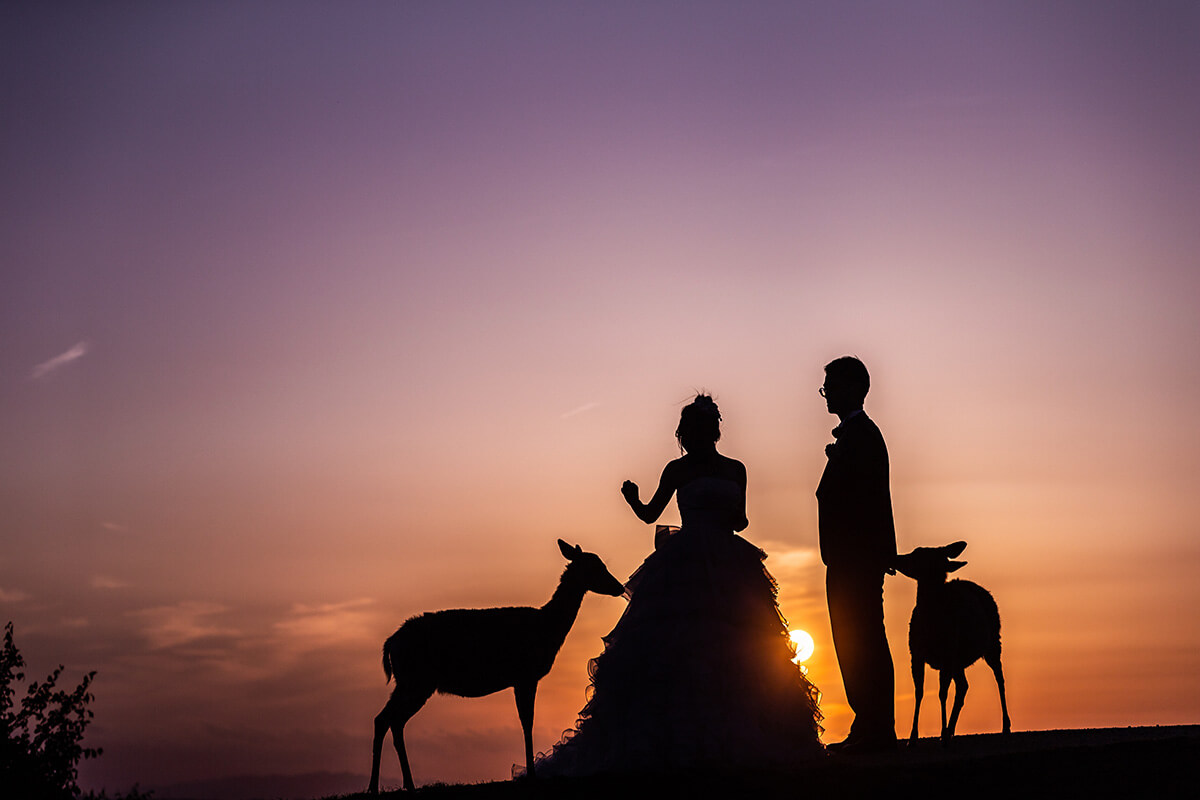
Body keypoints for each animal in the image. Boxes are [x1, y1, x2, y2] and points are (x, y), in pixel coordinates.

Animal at [369, 542, 624, 791]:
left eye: (601, 563)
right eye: (595, 567)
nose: (619, 587)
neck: (547, 628)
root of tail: (391, 642)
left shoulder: (522, 678)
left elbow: (526, 720)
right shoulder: (526, 674)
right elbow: (527, 721)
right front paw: (531, 774)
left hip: (409, 682)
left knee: (390, 721)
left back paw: (403, 784)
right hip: (415, 680)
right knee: (386, 720)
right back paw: (378, 785)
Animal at [892, 542, 1012, 748]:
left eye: (918, 555)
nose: (897, 557)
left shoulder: (946, 656)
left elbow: (941, 694)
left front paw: (942, 735)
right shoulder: (916, 653)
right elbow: (919, 692)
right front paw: (912, 738)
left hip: (993, 642)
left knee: (1000, 679)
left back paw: (1005, 727)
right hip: (959, 660)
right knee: (963, 686)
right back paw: (951, 730)